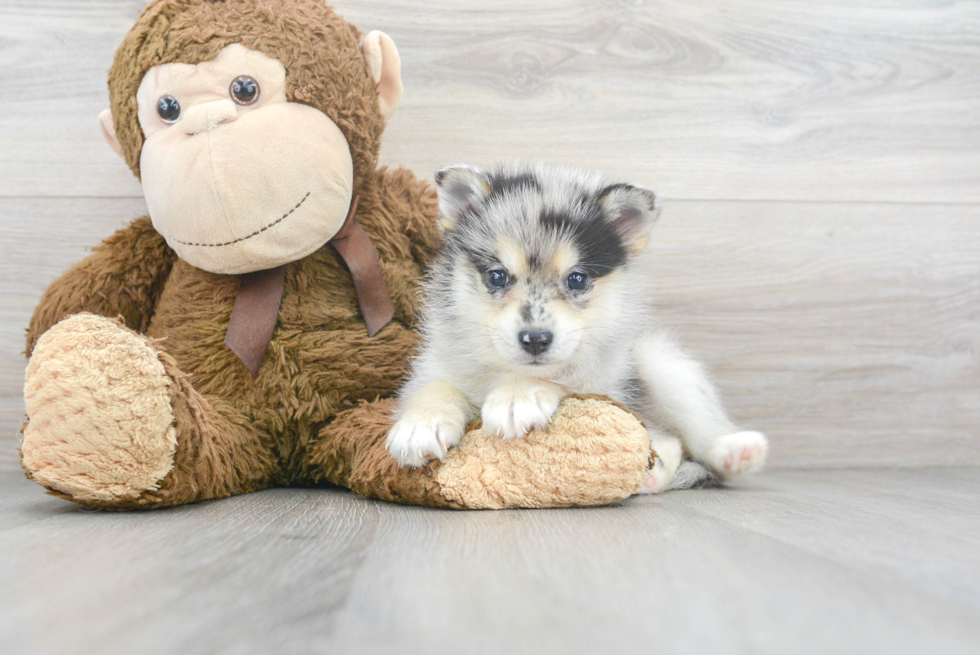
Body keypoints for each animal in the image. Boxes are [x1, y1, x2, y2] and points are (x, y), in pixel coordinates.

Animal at [386, 164, 768, 492]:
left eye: (577, 279)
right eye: (497, 276)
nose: (535, 340)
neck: (505, 370)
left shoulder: (603, 385)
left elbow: (562, 378)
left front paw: (517, 398)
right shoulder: (437, 364)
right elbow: (435, 388)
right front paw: (421, 425)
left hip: (664, 367)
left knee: (693, 435)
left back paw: (733, 452)